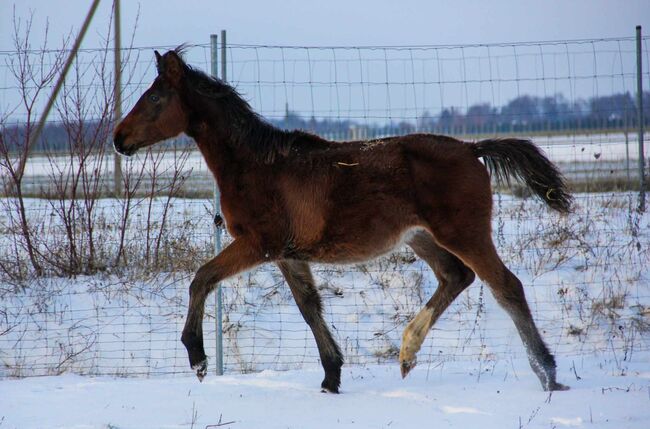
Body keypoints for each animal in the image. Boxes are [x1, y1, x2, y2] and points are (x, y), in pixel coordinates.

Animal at [114, 46, 568, 392]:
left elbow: (202, 278)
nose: (119, 139)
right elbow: (308, 306)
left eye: (154, 98)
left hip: (464, 233)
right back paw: (407, 353)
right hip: (420, 237)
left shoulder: (258, 243)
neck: (256, 165)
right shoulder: (288, 253)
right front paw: (331, 377)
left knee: (506, 287)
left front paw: (197, 357)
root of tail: (473, 149)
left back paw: (548, 373)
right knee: (456, 277)